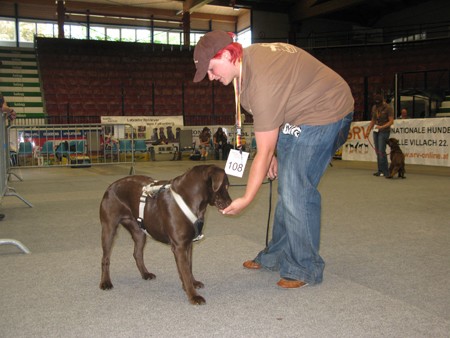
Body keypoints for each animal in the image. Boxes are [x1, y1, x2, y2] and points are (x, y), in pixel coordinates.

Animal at [99, 165, 232, 304]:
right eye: (226, 186)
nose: (230, 203)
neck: (190, 199)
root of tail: (110, 186)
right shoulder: (179, 246)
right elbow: (185, 271)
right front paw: (193, 296)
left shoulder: (189, 244)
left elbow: (189, 267)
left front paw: (192, 283)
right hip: (109, 228)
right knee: (105, 258)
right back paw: (105, 282)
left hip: (139, 231)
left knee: (137, 254)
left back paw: (145, 274)